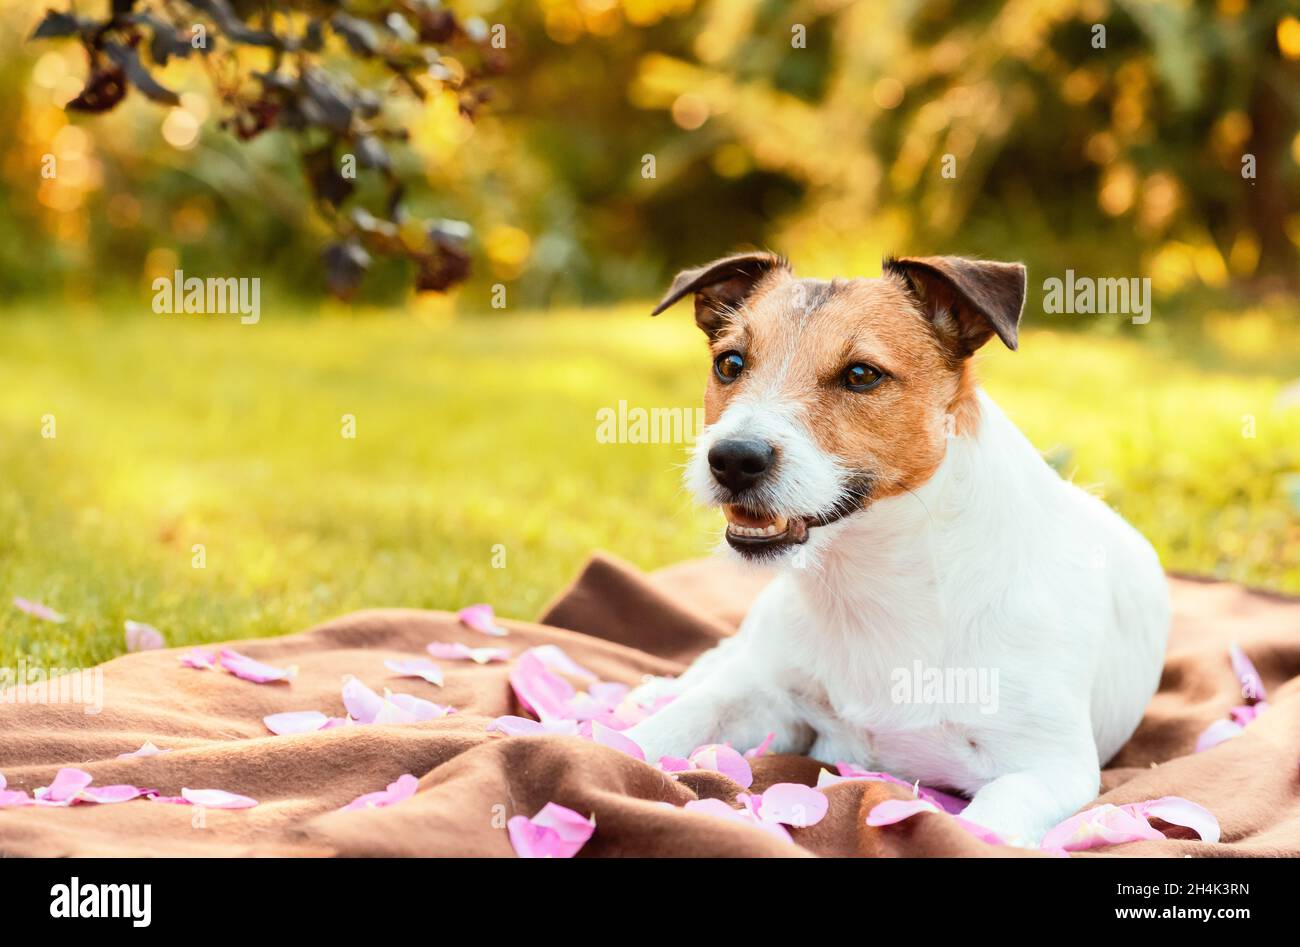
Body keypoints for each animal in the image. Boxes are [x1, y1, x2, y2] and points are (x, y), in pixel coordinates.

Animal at [624, 249, 1175, 842]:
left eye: (862, 374)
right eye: (730, 364)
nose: (732, 458)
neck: (872, 579)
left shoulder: (1050, 769)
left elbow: (984, 825)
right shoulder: (764, 700)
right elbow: (657, 733)